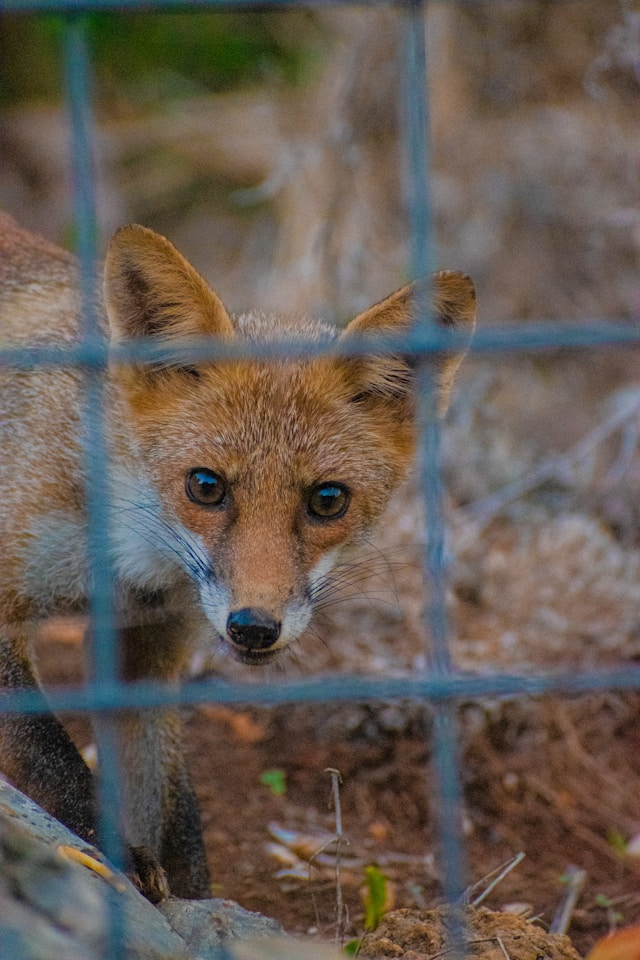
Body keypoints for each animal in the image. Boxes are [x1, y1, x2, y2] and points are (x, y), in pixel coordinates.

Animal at [0, 210, 475, 901]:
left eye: (327, 500)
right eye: (205, 486)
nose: (253, 627)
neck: (122, 554)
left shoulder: (150, 647)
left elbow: (175, 815)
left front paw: (191, 897)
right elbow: (49, 756)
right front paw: (113, 860)